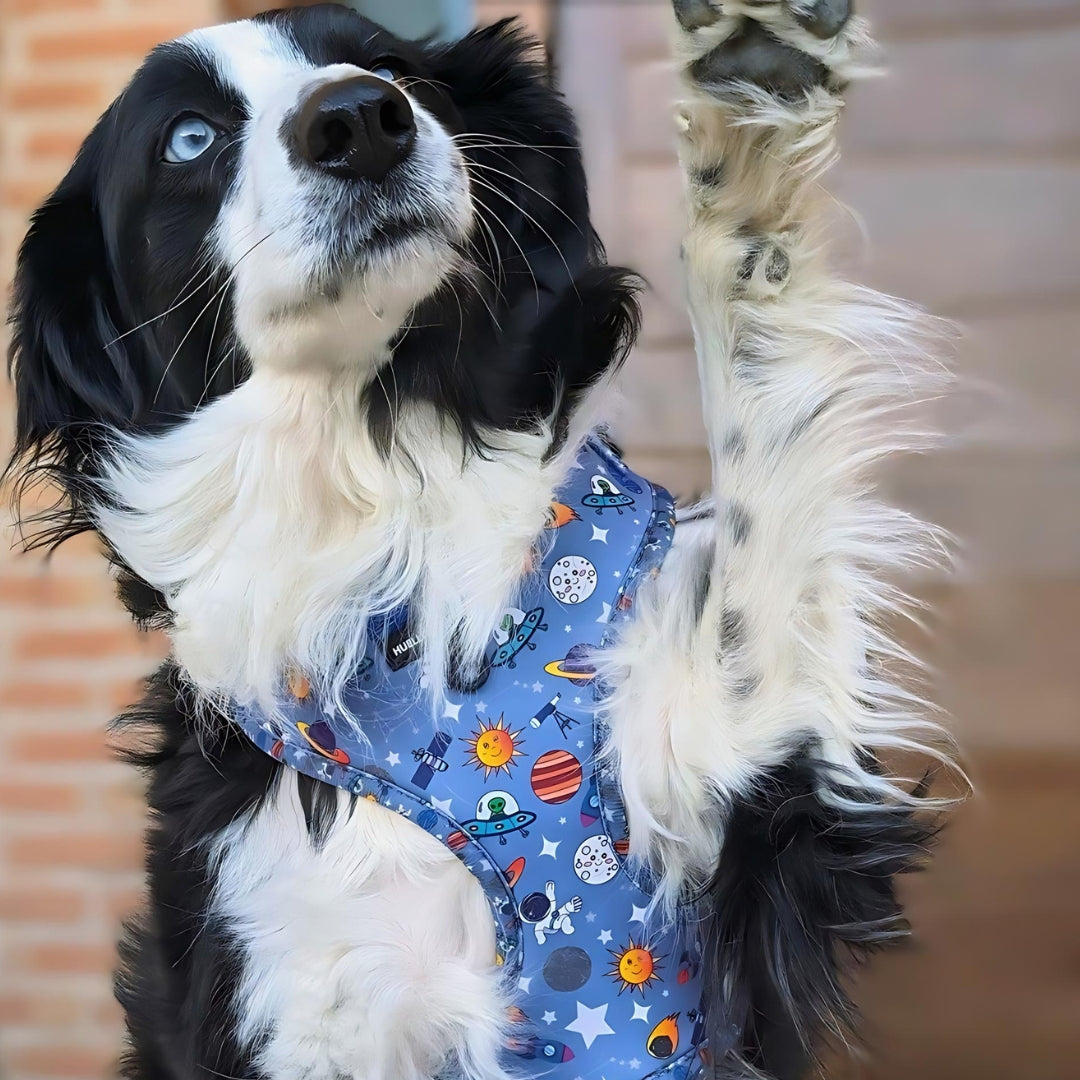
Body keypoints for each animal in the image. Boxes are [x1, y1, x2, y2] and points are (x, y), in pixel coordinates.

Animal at [5, 2, 952, 1078]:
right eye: (190, 137)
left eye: (391, 65)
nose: (359, 120)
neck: (388, 470)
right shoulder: (298, 986)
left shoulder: (758, 778)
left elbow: (762, 414)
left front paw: (752, 107)